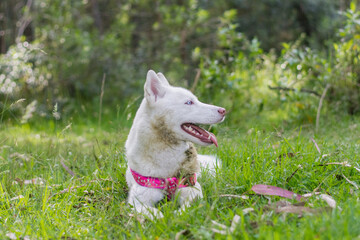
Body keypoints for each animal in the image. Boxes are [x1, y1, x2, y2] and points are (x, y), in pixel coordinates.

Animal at [124, 70, 225, 219]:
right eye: (189, 102)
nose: (224, 110)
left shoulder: (193, 191)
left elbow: (187, 208)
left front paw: (177, 215)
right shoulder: (137, 202)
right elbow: (155, 213)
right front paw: (165, 217)